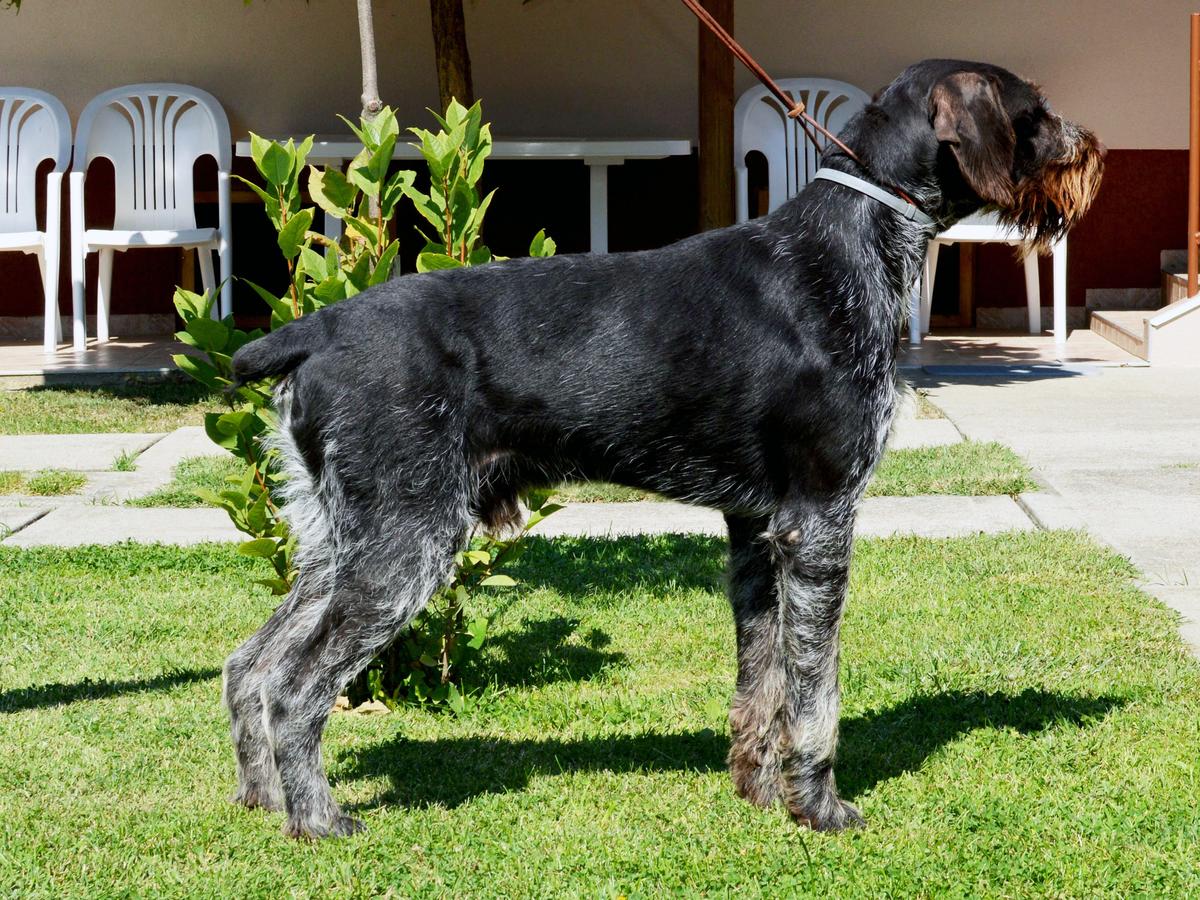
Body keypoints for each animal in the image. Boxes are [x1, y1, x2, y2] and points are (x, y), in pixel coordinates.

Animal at [220, 61, 1099, 840]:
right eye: (1035, 109)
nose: (1091, 146)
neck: (853, 243)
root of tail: (317, 328)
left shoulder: (757, 534)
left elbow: (762, 679)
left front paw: (758, 790)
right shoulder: (820, 520)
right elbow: (816, 693)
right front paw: (819, 807)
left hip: (337, 542)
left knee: (248, 665)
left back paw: (260, 800)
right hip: (406, 544)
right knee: (294, 687)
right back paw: (317, 820)